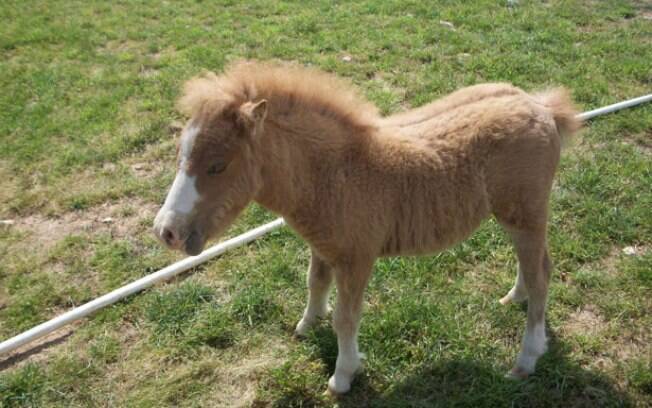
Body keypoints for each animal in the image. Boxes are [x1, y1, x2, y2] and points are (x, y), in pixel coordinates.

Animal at [153, 61, 580, 396]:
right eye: (180, 154)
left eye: (217, 165)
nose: (166, 231)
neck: (334, 172)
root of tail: (541, 107)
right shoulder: (322, 246)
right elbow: (314, 283)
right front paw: (306, 325)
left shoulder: (357, 258)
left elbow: (346, 318)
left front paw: (343, 375)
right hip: (514, 217)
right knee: (531, 265)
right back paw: (514, 298)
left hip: (528, 214)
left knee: (542, 274)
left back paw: (526, 359)